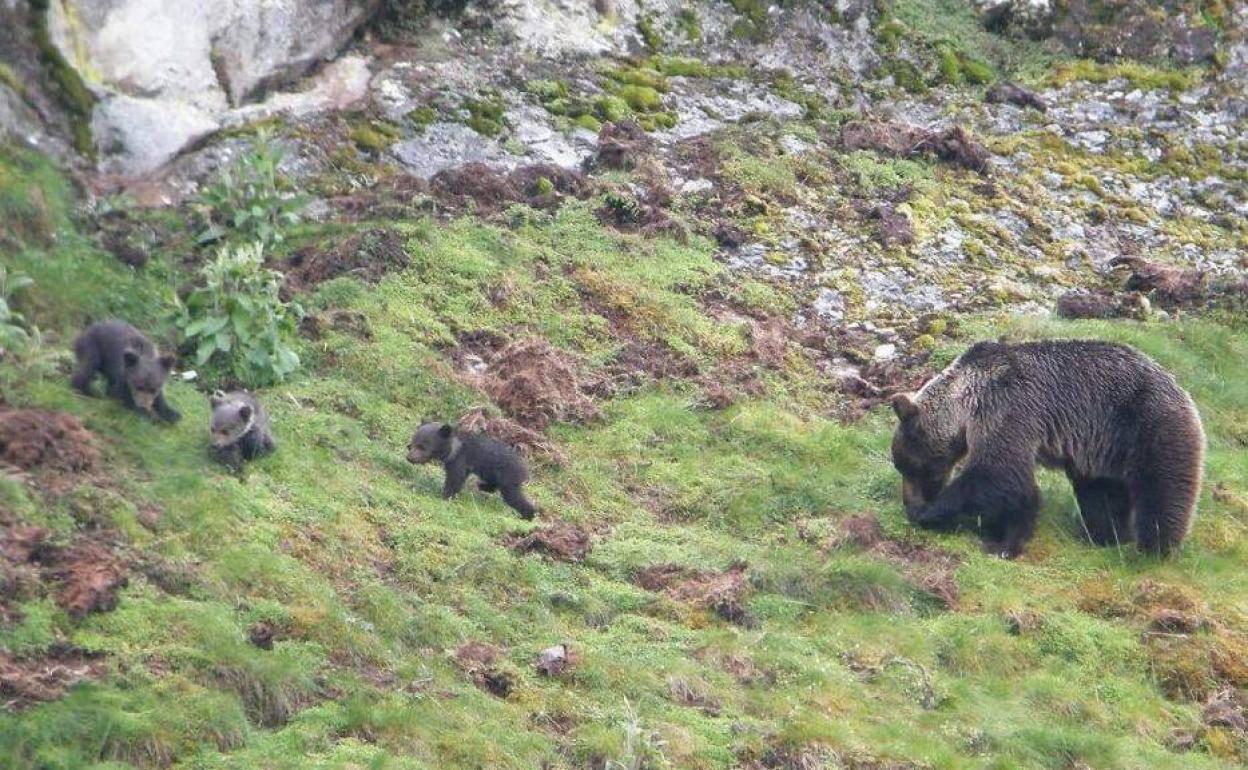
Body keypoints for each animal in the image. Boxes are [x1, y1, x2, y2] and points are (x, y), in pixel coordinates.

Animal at [406, 422, 536, 519]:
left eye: (422, 446)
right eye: (411, 444)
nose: (409, 458)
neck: (452, 448)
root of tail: (525, 470)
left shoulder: (459, 460)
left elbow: (455, 479)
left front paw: (445, 496)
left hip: (508, 477)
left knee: (514, 497)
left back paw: (529, 514)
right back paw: (483, 486)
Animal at [890, 339, 1204, 558]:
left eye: (912, 467)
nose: (909, 502)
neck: (965, 400)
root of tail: (1182, 390)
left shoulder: (1006, 409)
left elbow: (1000, 474)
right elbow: (1015, 486)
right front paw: (1003, 535)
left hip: (1150, 426)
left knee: (1162, 492)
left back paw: (1153, 549)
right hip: (1103, 451)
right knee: (1100, 495)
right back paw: (1106, 535)